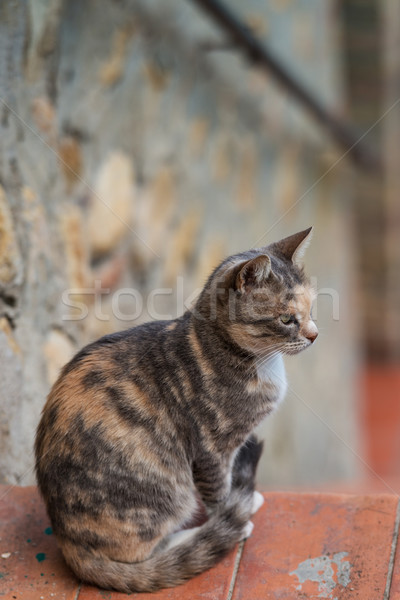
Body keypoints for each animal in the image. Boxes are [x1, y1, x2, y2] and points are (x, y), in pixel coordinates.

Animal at [34, 227, 318, 592]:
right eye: (286, 319)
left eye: (311, 309)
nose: (314, 334)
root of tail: (69, 544)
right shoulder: (211, 448)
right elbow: (219, 490)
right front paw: (233, 513)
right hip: (167, 494)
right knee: (145, 555)